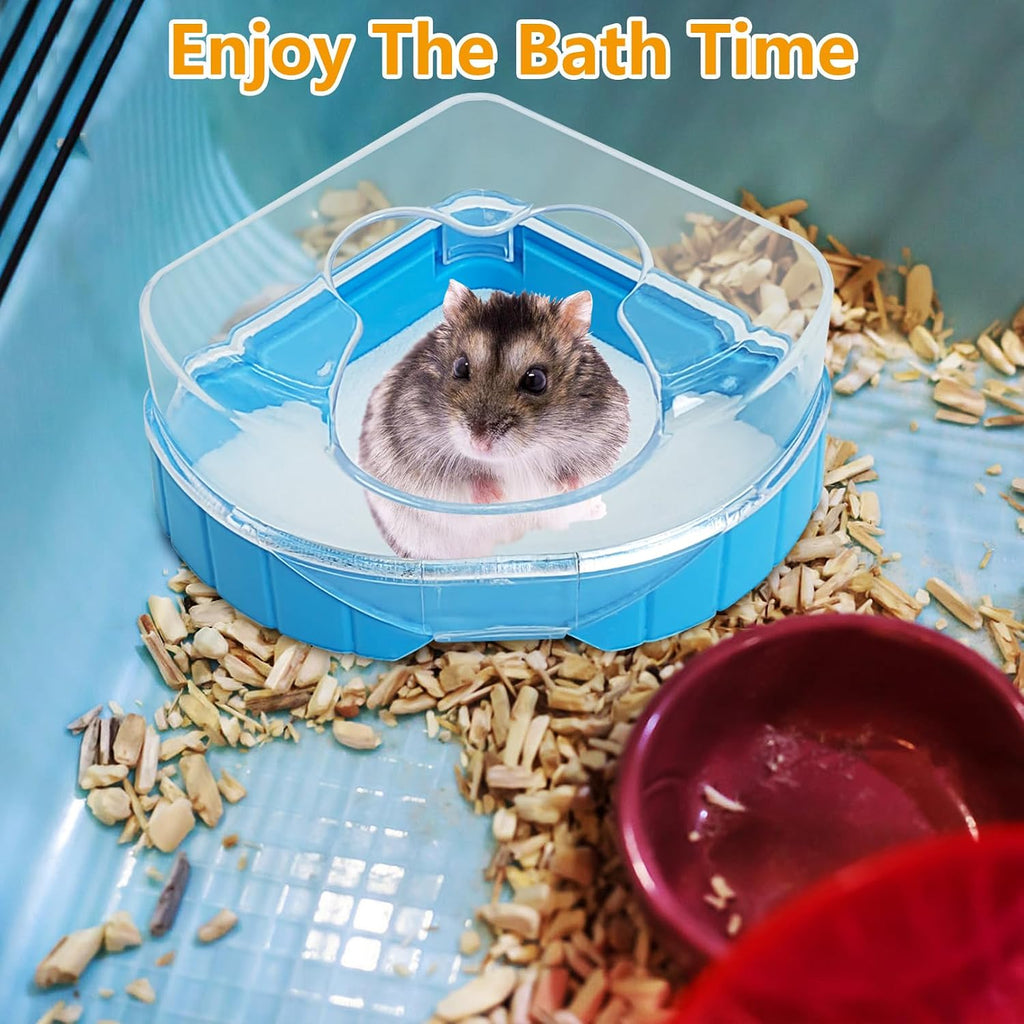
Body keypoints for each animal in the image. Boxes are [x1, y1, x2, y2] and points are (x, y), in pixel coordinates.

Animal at [357, 280, 630, 559]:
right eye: (460, 367)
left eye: (536, 380)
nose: (479, 444)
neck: (516, 458)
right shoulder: (419, 449)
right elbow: (467, 479)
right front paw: (497, 499)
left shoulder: (601, 435)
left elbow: (577, 473)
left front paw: (570, 488)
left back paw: (598, 510)